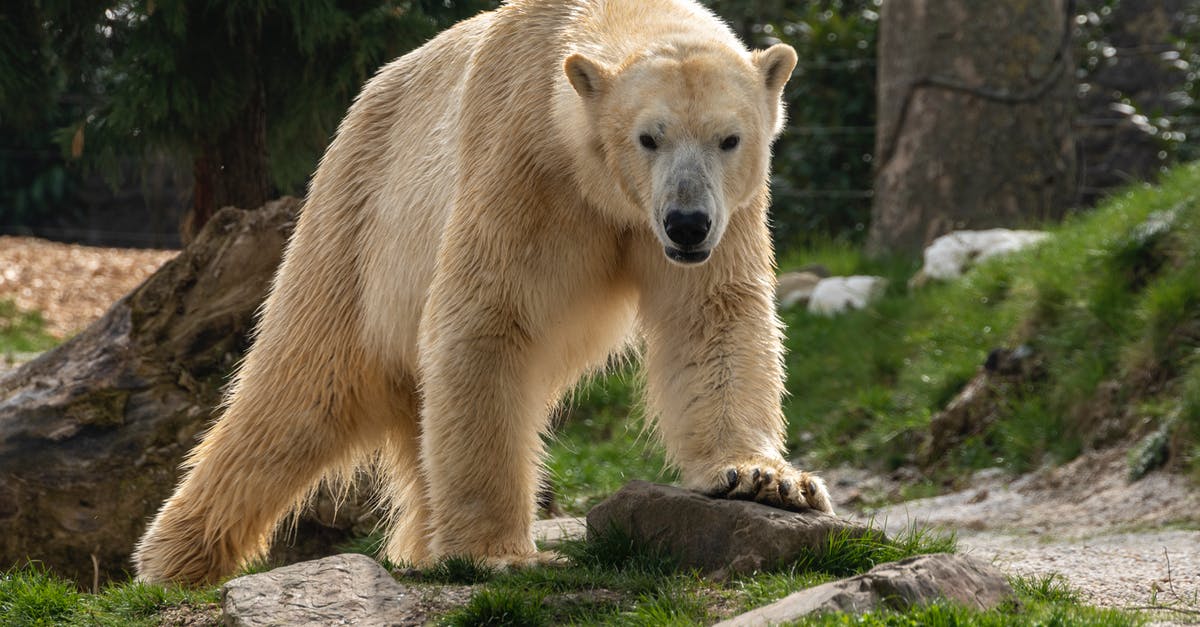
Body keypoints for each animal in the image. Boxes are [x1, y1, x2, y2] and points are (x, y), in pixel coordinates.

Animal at [129, 0, 825, 581]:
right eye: (647, 137)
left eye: (729, 138)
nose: (686, 223)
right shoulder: (522, 164)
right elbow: (486, 321)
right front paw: (499, 553)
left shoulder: (731, 214)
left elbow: (712, 315)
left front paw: (764, 479)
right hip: (355, 225)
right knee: (297, 390)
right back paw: (173, 560)